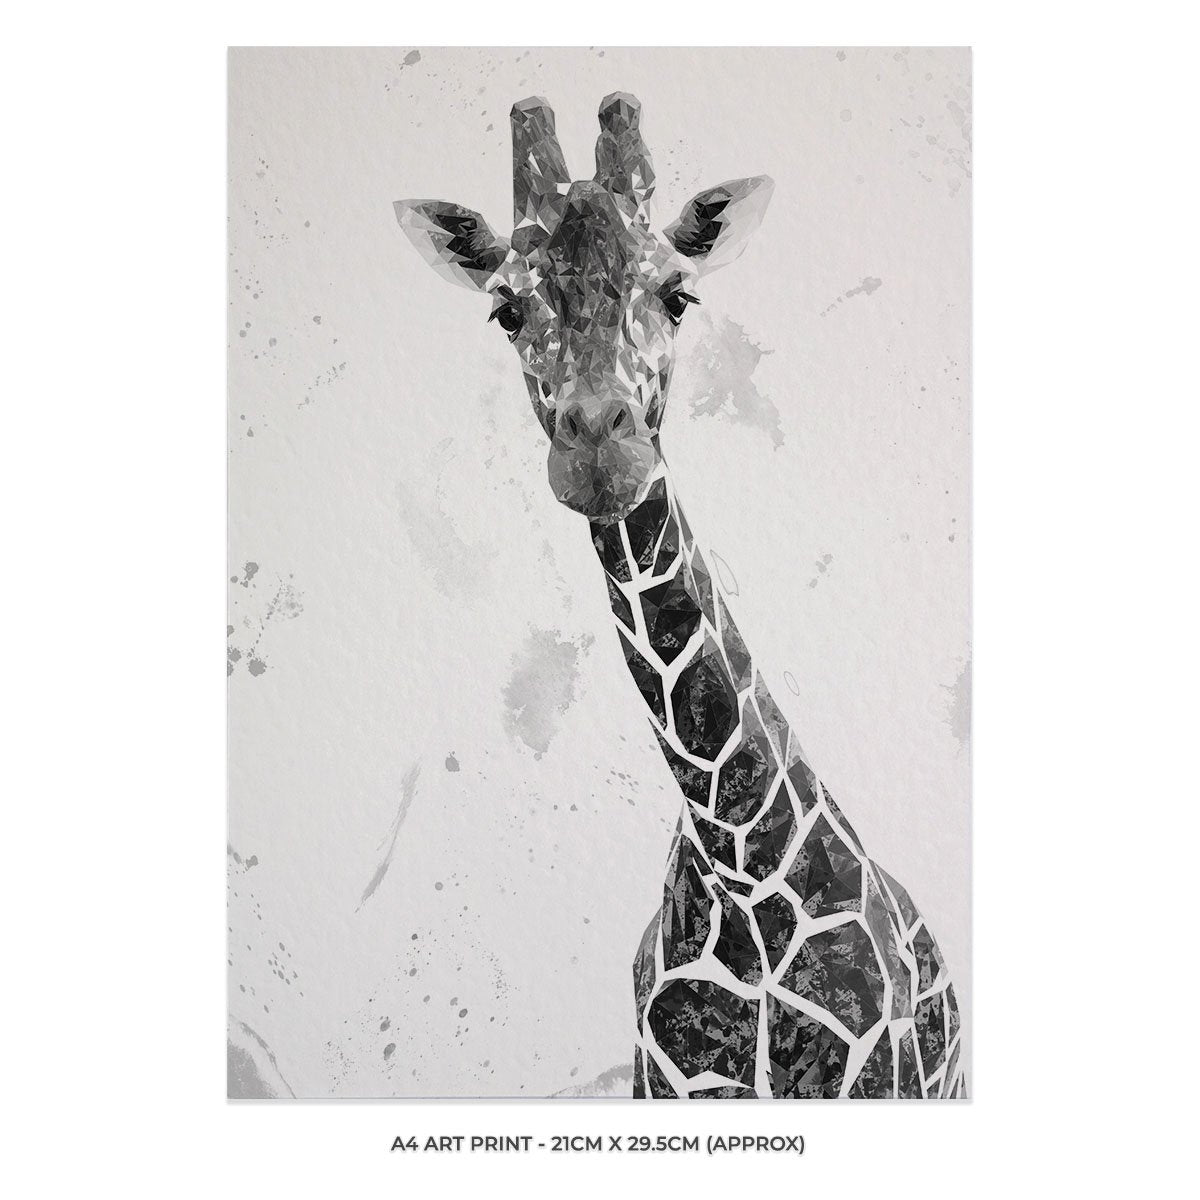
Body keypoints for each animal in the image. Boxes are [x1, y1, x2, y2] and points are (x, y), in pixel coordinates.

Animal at [394, 93, 967, 1099]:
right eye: (506, 310)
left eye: (677, 294)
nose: (599, 450)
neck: (741, 871)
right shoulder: (663, 1084)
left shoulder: (879, 1078)